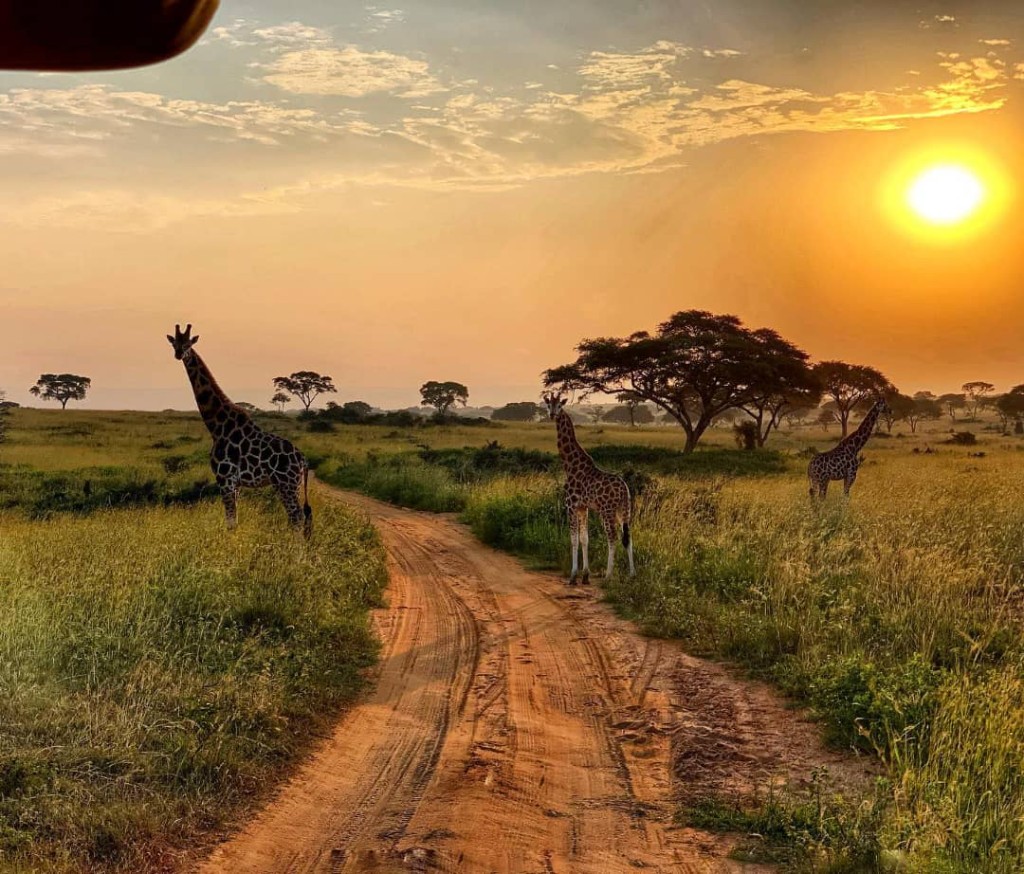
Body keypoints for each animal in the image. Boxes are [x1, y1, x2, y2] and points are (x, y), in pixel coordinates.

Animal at [167, 324, 312, 536]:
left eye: (188, 344)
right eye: (174, 343)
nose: (179, 354)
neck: (217, 427)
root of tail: (303, 459)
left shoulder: (225, 478)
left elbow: (230, 522)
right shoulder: (235, 484)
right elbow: (234, 521)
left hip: (287, 483)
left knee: (297, 516)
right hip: (291, 484)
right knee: (298, 517)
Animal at [542, 392, 634, 584]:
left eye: (559, 405)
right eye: (548, 405)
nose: (552, 414)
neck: (570, 466)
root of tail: (624, 489)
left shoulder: (571, 505)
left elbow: (574, 539)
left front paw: (573, 576)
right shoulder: (583, 507)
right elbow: (585, 539)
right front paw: (585, 575)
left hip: (607, 511)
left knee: (613, 537)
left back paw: (608, 575)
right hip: (624, 510)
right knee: (628, 536)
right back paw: (632, 574)